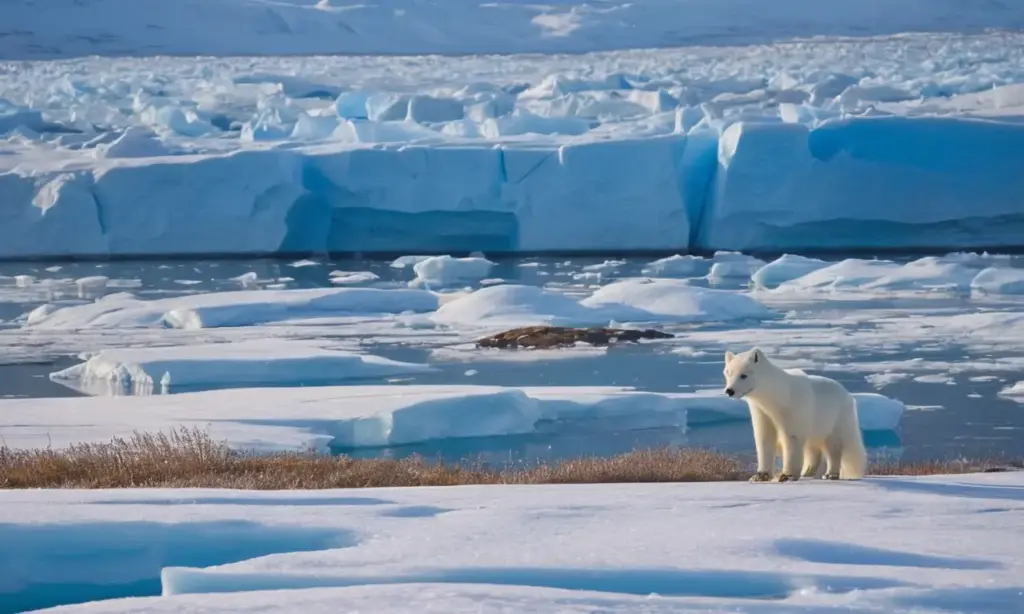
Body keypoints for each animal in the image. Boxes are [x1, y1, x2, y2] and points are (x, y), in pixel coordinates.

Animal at [722, 347, 867, 483]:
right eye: (728, 373)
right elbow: (764, 438)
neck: (778, 397)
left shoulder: (793, 410)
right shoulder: (761, 411)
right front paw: (759, 476)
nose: (729, 391)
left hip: (835, 416)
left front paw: (786, 476)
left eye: (743, 375)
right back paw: (807, 473)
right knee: (812, 447)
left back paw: (830, 474)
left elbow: (792, 438)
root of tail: (848, 395)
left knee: (833, 446)